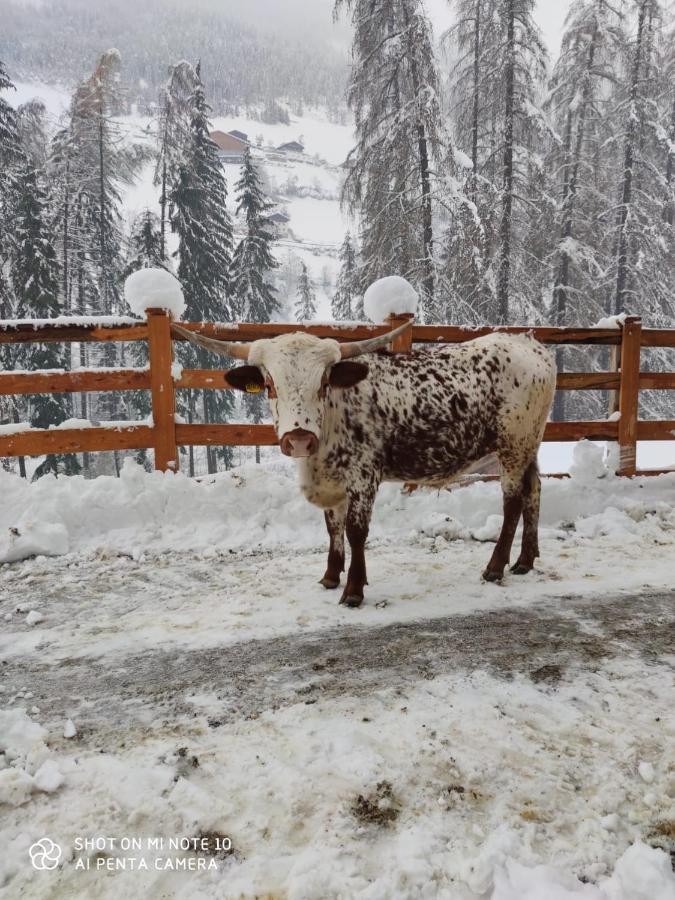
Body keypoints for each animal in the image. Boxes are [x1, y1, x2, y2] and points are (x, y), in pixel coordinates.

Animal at [172, 320, 556, 608]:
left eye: (324, 381)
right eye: (269, 385)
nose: (299, 439)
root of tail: (529, 343)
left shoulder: (363, 476)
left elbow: (356, 531)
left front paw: (353, 590)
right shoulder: (333, 482)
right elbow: (333, 527)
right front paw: (330, 576)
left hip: (513, 445)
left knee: (513, 501)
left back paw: (495, 567)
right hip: (530, 444)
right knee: (534, 489)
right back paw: (525, 560)